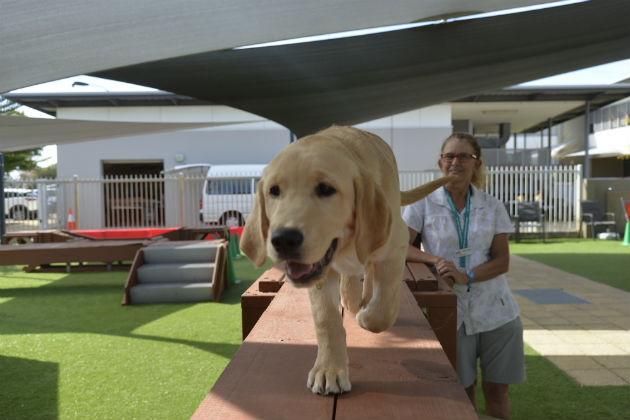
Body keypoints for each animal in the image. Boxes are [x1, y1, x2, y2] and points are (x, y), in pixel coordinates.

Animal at [241, 126, 454, 396]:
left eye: (325, 189)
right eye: (274, 191)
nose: (283, 240)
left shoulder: (396, 246)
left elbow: (383, 310)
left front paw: (367, 316)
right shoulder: (319, 275)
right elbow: (326, 319)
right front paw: (329, 370)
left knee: (371, 272)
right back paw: (351, 296)